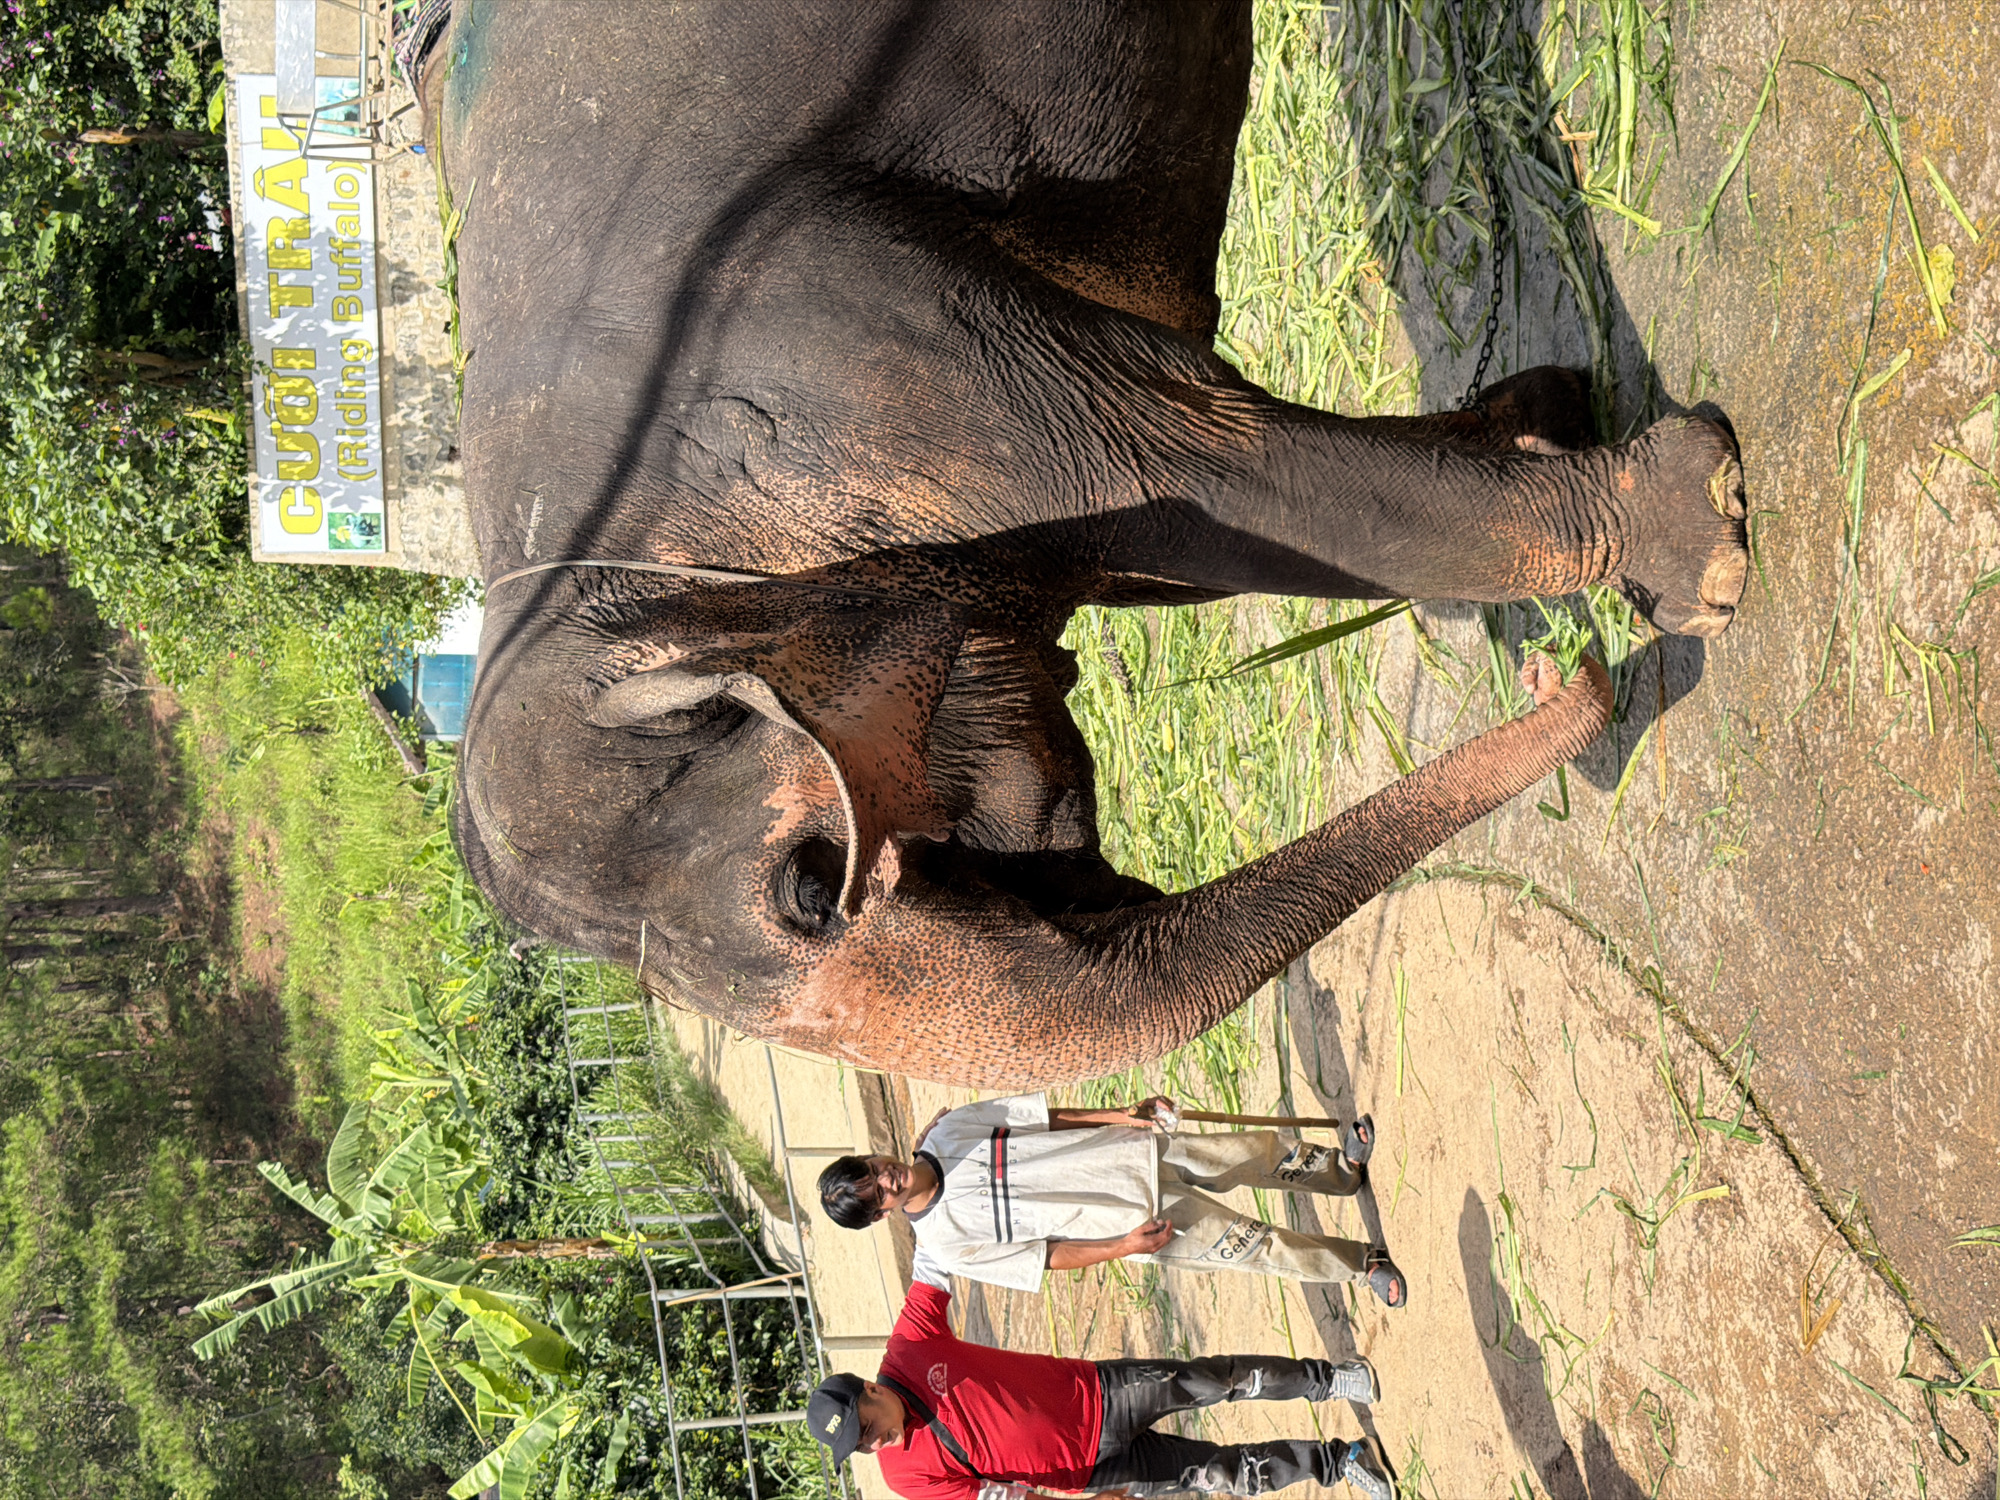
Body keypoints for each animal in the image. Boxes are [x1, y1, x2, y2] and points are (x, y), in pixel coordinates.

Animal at [430, 1, 1747, 1088]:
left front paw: (1701, 557)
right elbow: (1147, 578)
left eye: (809, 885)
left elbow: (1229, 483)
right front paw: (1538, 421)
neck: (588, 566)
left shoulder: (888, 356)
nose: (1552, 671)